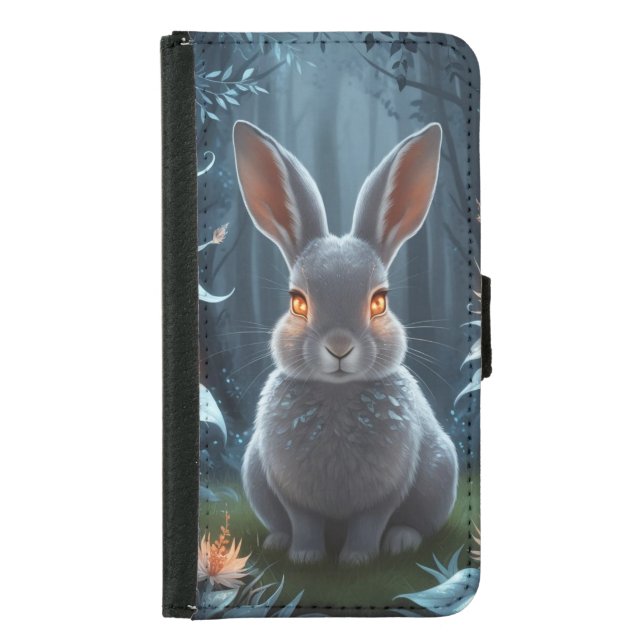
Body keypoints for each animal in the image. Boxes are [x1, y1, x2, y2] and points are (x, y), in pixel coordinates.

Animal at [233, 120, 458, 565]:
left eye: (379, 302)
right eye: (297, 302)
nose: (339, 346)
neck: (337, 391)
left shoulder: (384, 494)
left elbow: (368, 525)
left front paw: (357, 560)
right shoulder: (293, 495)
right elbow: (304, 523)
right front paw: (305, 558)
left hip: (440, 473)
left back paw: (401, 541)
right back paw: (277, 542)